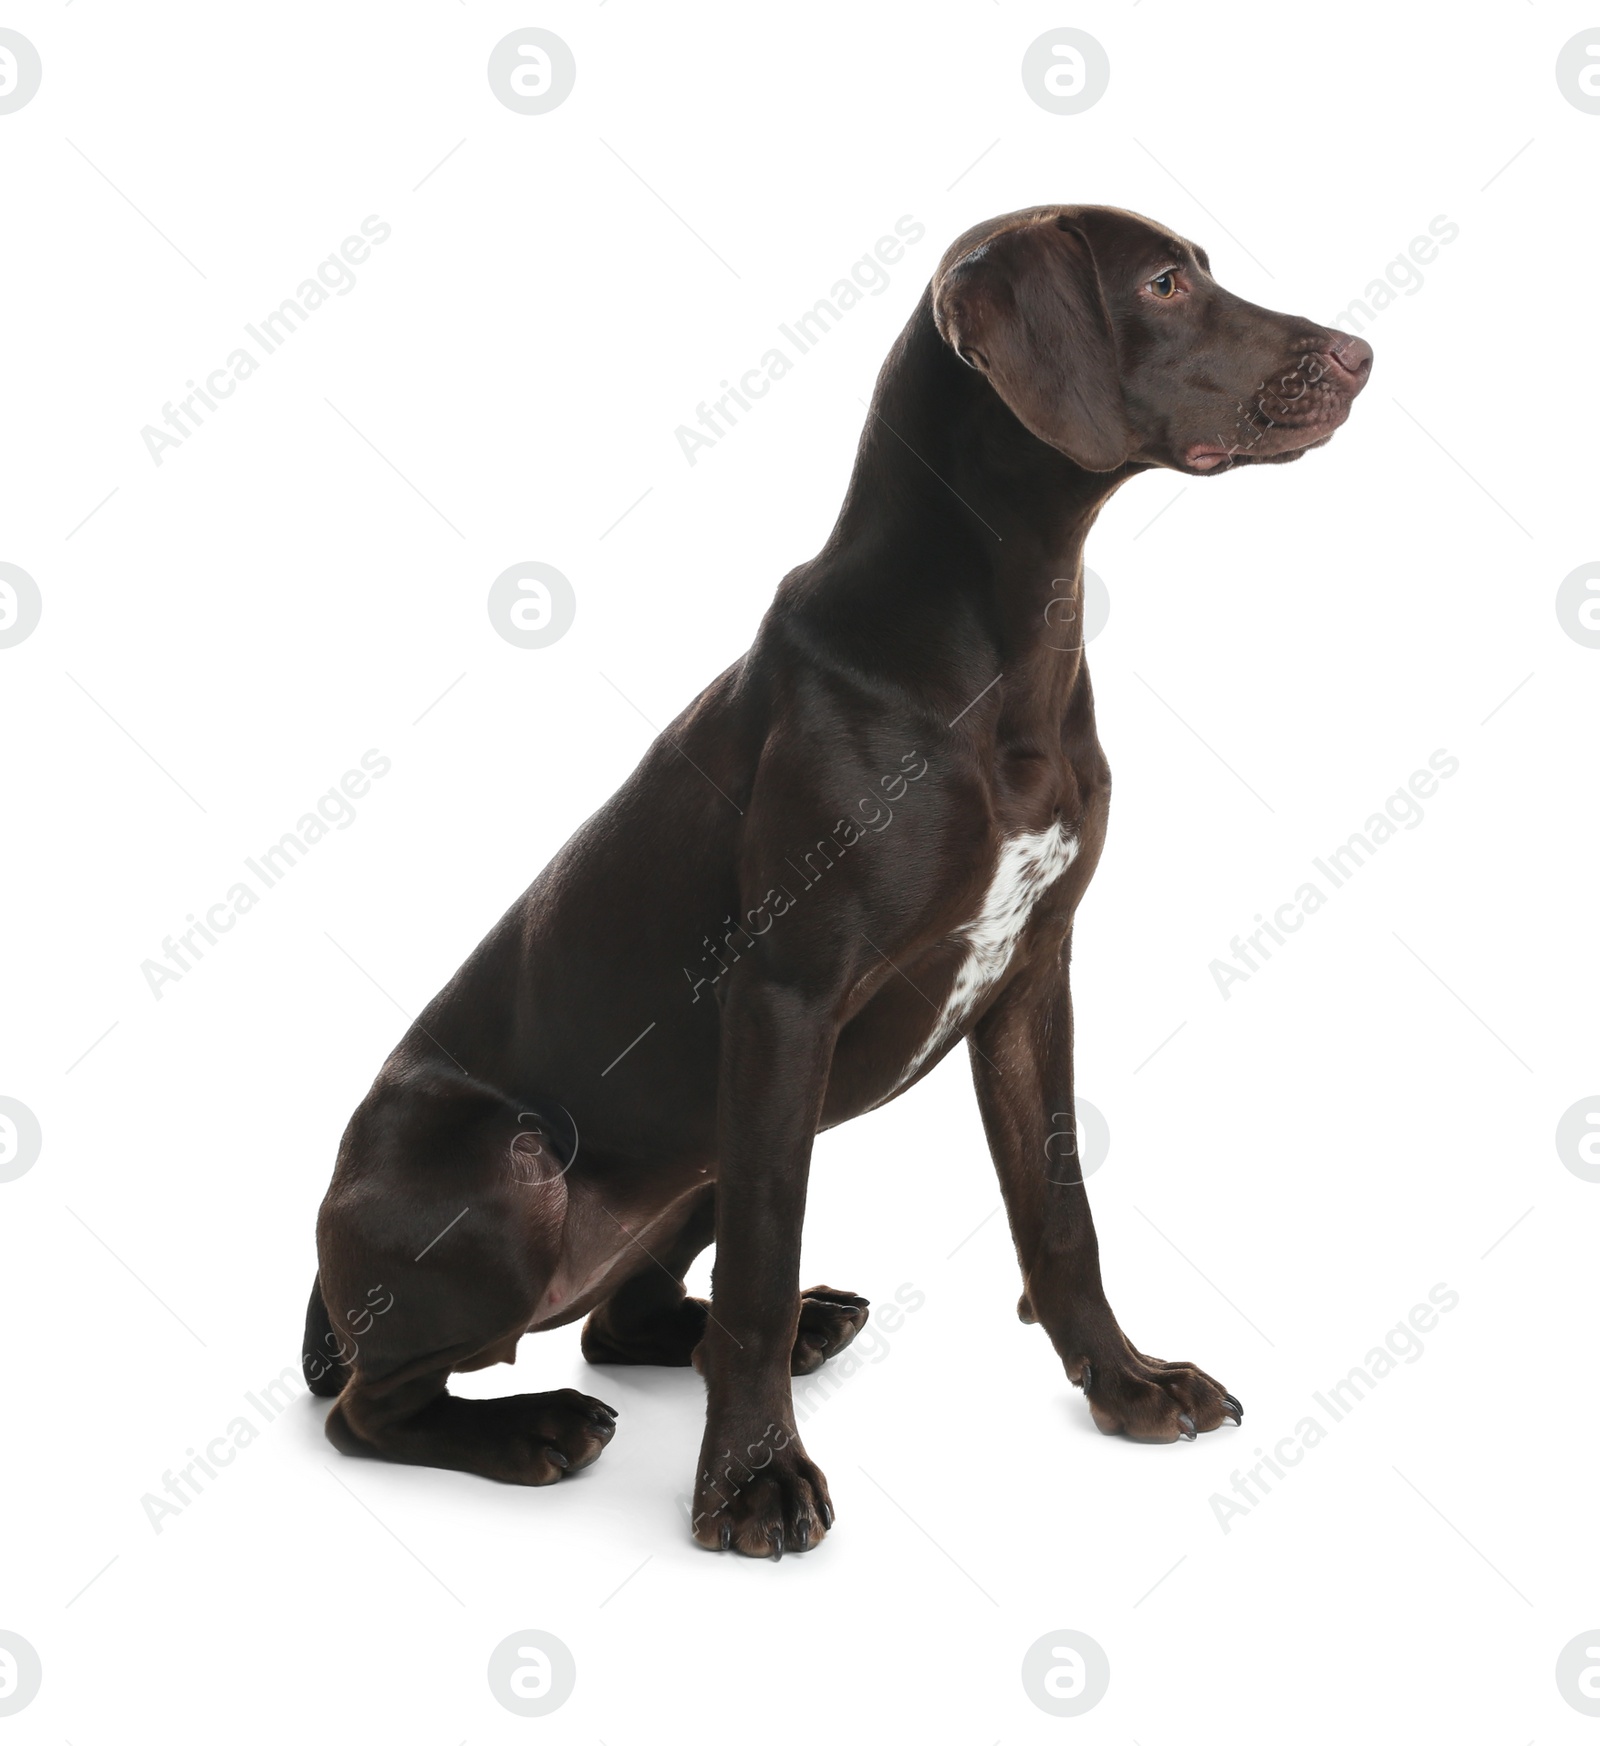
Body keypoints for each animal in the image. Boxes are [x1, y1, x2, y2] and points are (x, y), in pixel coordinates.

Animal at [305, 200, 1369, 1557]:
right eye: (1166, 285)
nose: (1360, 355)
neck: (1001, 650)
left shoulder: (1029, 984)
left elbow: (1058, 1214)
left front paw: (1126, 1384)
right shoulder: (782, 1000)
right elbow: (760, 1268)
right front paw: (750, 1481)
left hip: (704, 1148)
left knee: (621, 1321)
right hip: (526, 1167)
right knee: (376, 1408)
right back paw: (531, 1429)